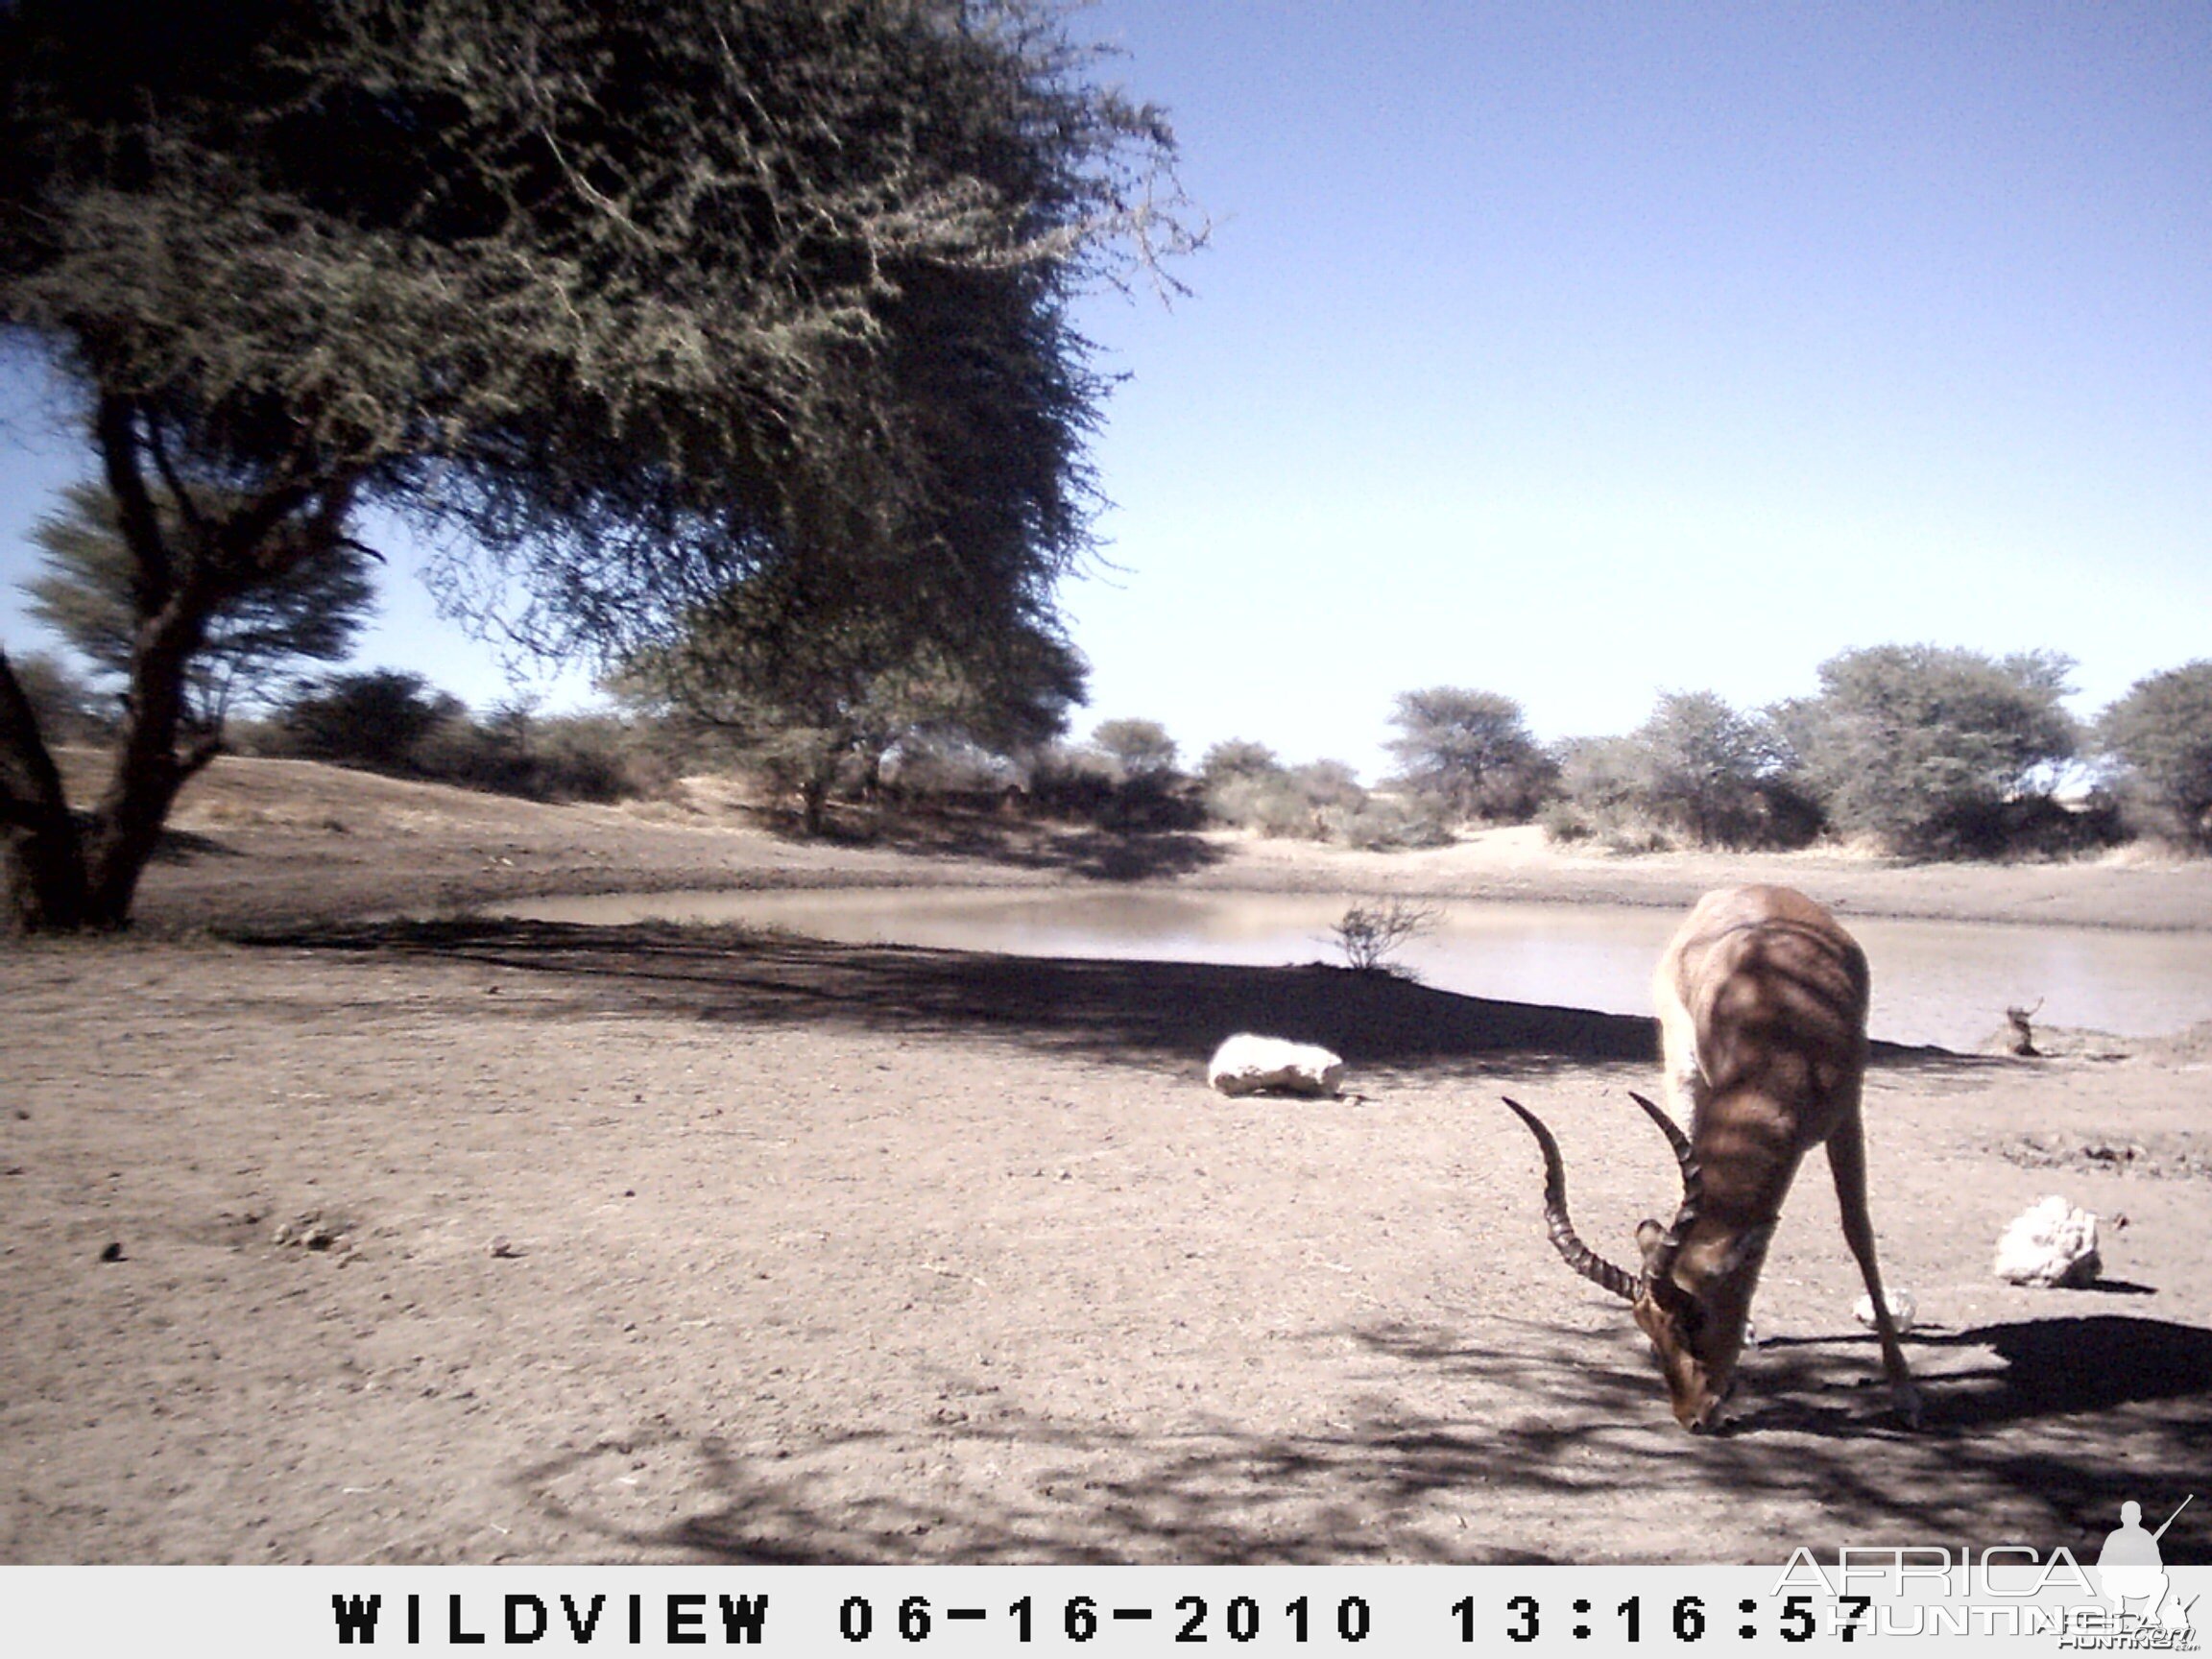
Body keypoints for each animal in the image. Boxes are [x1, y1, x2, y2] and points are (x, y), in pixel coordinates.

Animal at [1503, 889, 1919, 1432]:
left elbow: (1859, 1232)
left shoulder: (1847, 1116)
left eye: (1697, 1316)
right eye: (1645, 1325)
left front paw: (1905, 1392)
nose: (1692, 1417)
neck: (1782, 1031)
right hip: (1682, 1076)